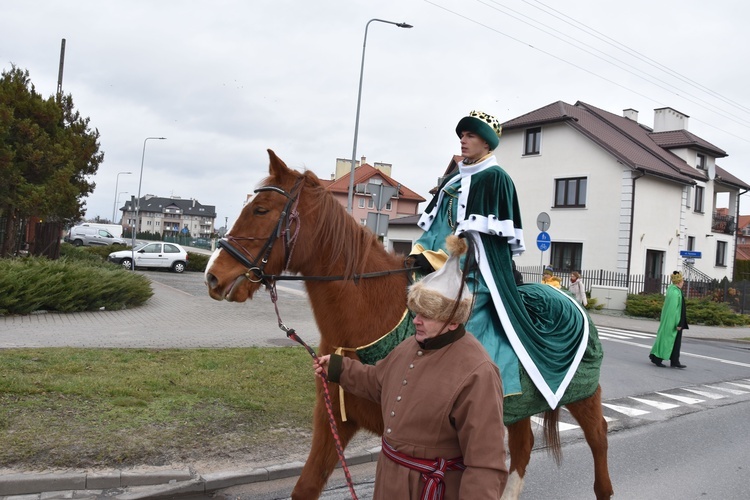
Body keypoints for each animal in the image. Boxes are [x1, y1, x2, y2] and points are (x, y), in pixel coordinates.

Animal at [207, 150, 616, 498]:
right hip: (518, 406)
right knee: (522, 447)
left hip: (583, 394)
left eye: (260, 209)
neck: (370, 319)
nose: (213, 276)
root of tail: (566, 296)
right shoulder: (333, 422)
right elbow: (306, 486)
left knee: (599, 436)